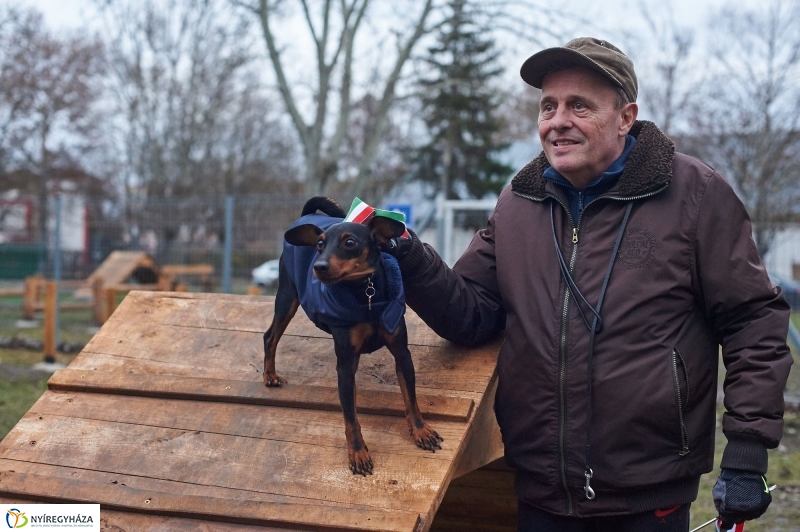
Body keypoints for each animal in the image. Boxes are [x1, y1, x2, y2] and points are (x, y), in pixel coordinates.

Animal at [264, 197, 444, 476]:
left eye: (350, 243)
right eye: (319, 245)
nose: (319, 267)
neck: (365, 292)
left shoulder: (402, 354)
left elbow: (411, 399)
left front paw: (421, 431)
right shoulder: (346, 366)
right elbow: (350, 418)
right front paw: (358, 453)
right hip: (287, 296)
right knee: (270, 336)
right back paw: (270, 375)